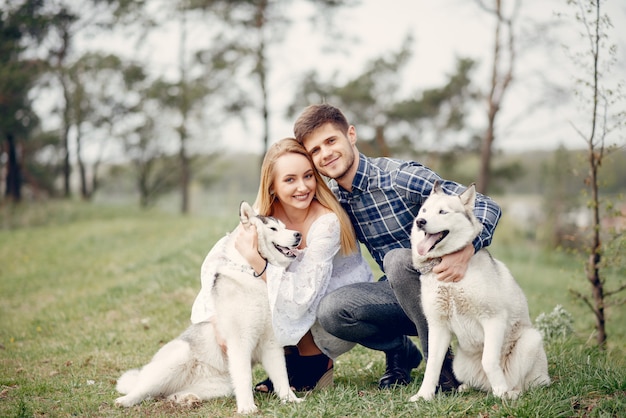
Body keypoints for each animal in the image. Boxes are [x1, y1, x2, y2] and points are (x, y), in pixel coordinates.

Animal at [117, 202, 304, 414]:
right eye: (273, 229)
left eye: (284, 226)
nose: (298, 234)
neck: (255, 274)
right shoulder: (239, 342)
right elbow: (245, 378)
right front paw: (247, 407)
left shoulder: (271, 343)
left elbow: (282, 376)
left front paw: (290, 399)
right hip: (177, 358)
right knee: (142, 389)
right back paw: (125, 400)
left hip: (220, 386)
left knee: (168, 393)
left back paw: (185, 398)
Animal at [410, 182, 544, 402]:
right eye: (424, 211)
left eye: (442, 212)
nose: (420, 222)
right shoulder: (438, 326)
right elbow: (433, 365)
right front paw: (424, 395)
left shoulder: (493, 318)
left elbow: (489, 361)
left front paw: (502, 393)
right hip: (459, 364)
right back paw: (468, 388)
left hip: (530, 341)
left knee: (521, 383)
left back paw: (509, 392)